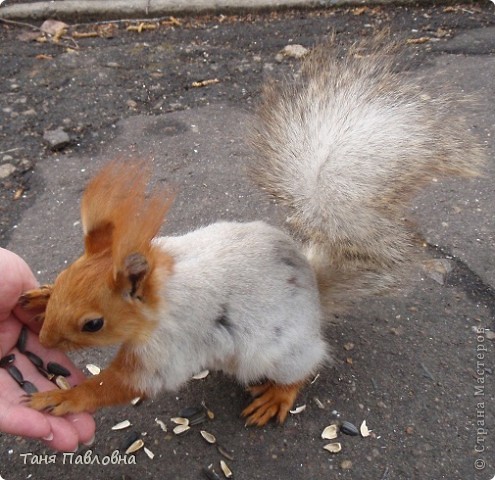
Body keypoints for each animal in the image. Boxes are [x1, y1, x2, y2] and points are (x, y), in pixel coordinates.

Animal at [18, 37, 484, 428]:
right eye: (63, 278)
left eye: (93, 324)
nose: (44, 338)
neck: (160, 288)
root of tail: (315, 296)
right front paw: (38, 296)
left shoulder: (172, 343)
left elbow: (125, 384)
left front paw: (65, 398)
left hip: (281, 352)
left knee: (305, 367)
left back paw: (278, 396)